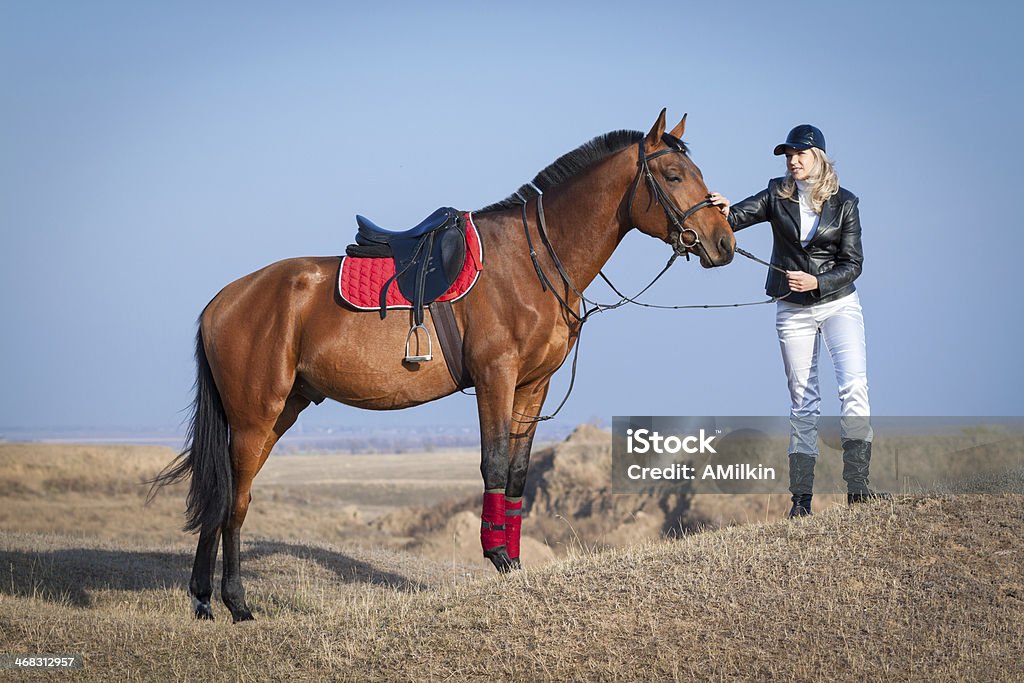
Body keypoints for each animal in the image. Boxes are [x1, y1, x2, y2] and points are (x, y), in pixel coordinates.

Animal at [148, 108, 733, 626]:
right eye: (674, 175)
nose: (724, 242)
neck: (532, 260)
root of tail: (223, 301)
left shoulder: (533, 386)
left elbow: (517, 473)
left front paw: (514, 563)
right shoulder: (496, 377)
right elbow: (493, 465)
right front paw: (497, 558)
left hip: (276, 415)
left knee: (223, 493)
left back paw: (203, 600)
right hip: (254, 418)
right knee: (234, 501)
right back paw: (236, 603)